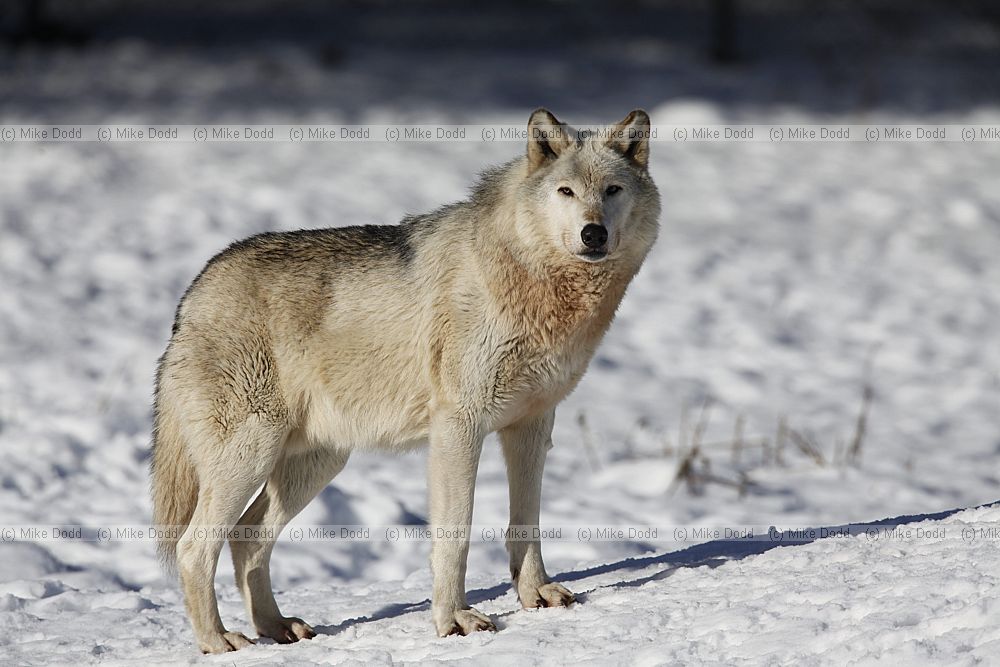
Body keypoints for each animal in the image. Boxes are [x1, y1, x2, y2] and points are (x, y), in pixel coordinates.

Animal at [150, 108, 660, 653]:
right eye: (566, 191)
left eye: (612, 190)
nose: (593, 234)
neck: (534, 280)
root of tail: (191, 295)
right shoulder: (459, 427)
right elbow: (455, 535)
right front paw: (454, 621)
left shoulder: (531, 426)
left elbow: (526, 524)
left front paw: (536, 595)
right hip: (252, 454)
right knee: (193, 548)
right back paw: (219, 641)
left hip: (315, 463)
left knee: (246, 537)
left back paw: (277, 627)